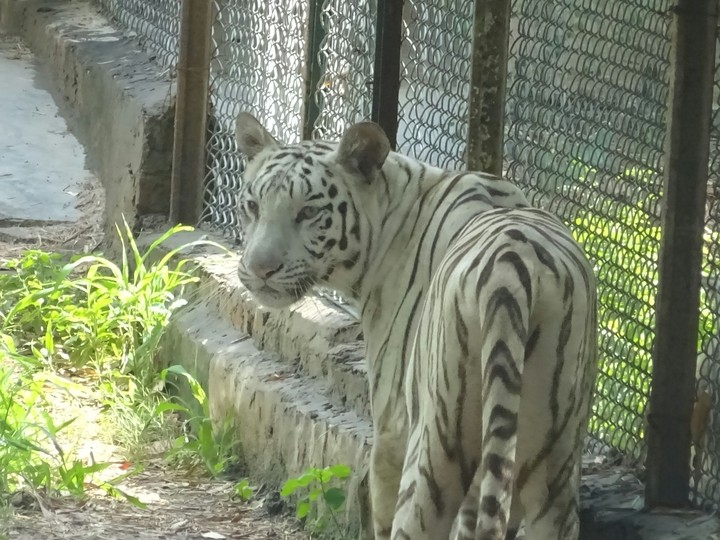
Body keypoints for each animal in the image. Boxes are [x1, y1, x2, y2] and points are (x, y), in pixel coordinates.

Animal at [233, 111, 597, 540]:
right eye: (252, 206)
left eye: (307, 212)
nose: (260, 269)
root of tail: (512, 265)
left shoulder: (392, 420)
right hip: (553, 460)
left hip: (434, 444)